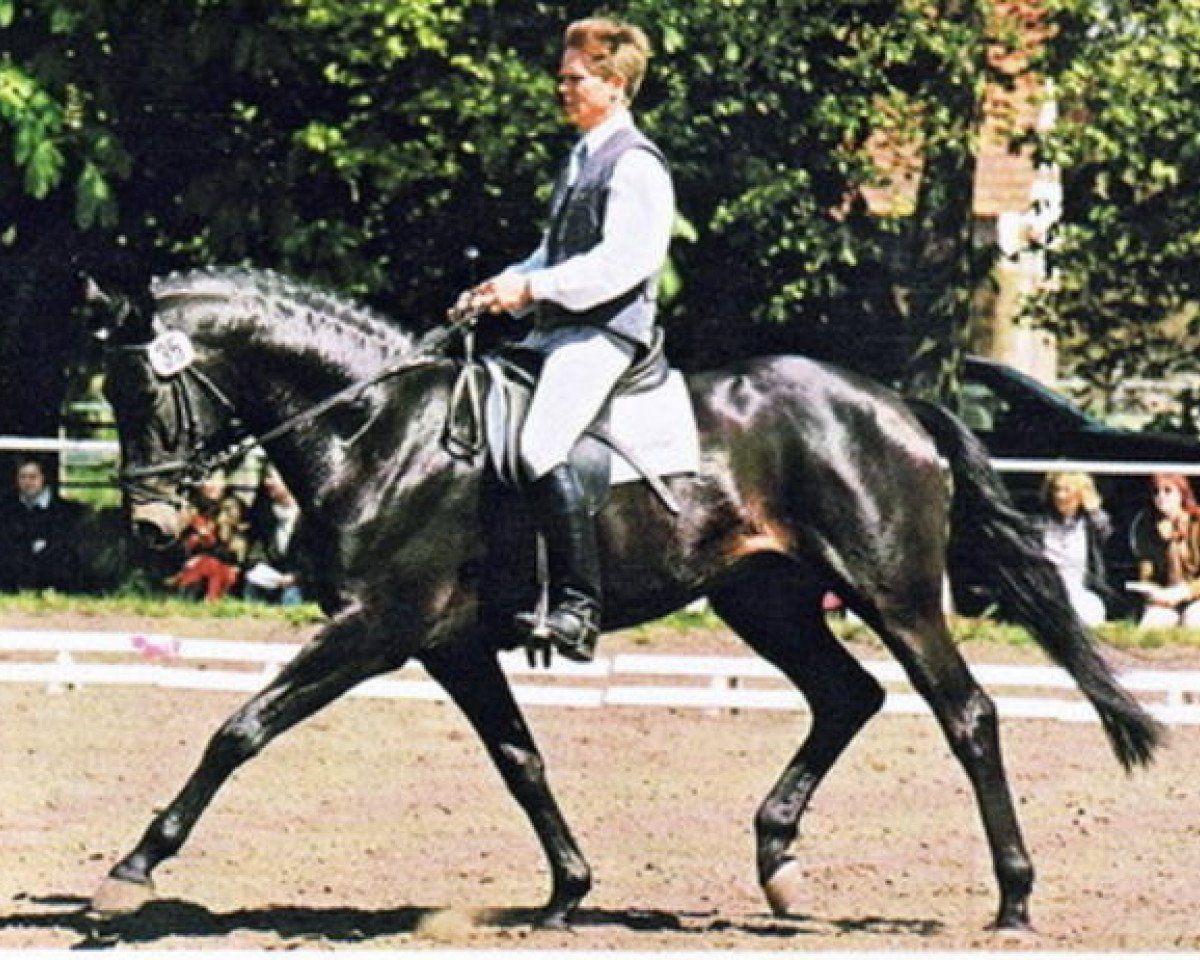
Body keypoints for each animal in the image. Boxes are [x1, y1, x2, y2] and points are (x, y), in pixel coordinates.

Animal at [91, 266, 1160, 933]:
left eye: (141, 393)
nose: (149, 527)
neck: (380, 428)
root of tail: (894, 403)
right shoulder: (449, 643)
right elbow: (519, 760)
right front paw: (567, 892)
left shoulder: (378, 628)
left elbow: (241, 728)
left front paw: (135, 866)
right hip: (763, 599)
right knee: (847, 696)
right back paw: (778, 863)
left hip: (890, 589)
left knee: (965, 712)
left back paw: (1013, 899)